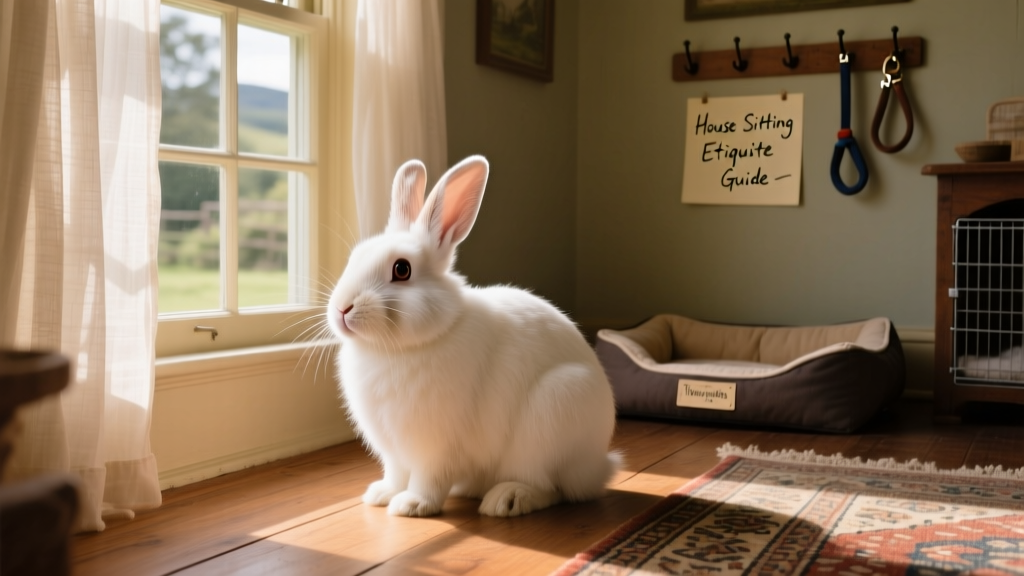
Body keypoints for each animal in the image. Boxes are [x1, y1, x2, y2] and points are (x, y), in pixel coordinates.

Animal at [327, 155, 621, 518]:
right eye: (354, 258)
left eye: (401, 269)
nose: (342, 308)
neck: (398, 349)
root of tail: (598, 467)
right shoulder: (393, 449)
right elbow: (395, 472)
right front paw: (382, 494)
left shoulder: (435, 444)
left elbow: (429, 477)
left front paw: (412, 505)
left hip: (552, 416)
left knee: (551, 489)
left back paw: (507, 499)